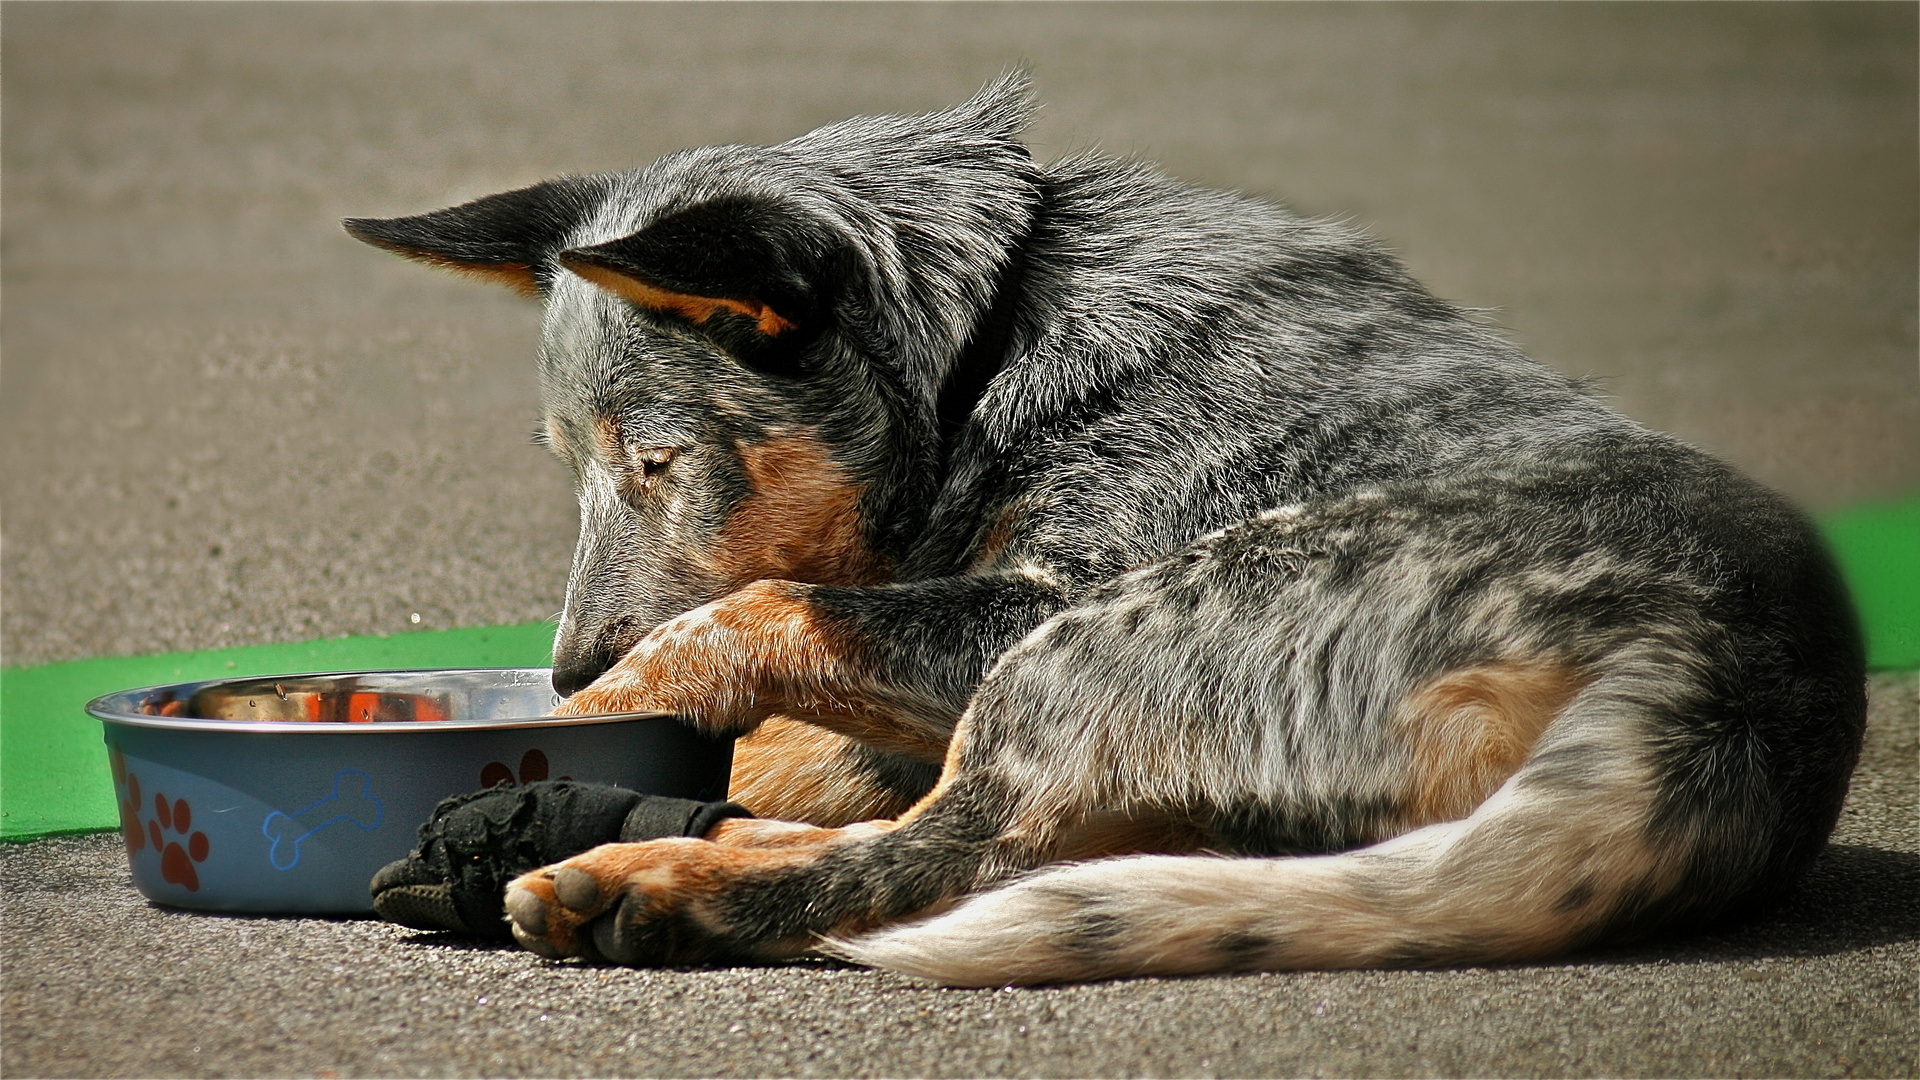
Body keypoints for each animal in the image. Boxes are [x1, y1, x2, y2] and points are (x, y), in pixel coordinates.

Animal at [345, 75, 1858, 983]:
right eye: (568, 466)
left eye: (655, 462)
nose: (564, 667)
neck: (999, 345)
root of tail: (1738, 684)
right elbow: (798, 730)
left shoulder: (1030, 600)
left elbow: (757, 624)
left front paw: (593, 714)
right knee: (1014, 850)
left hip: (1121, 631)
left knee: (936, 861)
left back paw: (640, 883)